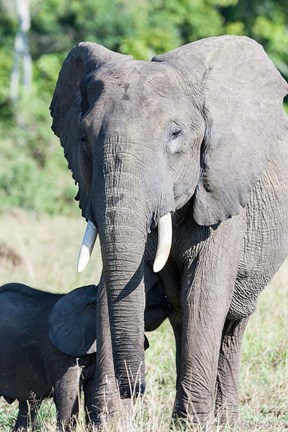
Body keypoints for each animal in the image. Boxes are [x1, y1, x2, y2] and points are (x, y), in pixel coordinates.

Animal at [50, 34, 288, 426]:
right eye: (83, 140)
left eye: (175, 135)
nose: (136, 388)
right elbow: (111, 289)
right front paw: (112, 422)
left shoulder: (221, 195)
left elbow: (205, 293)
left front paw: (191, 425)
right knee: (182, 319)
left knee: (231, 324)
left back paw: (223, 422)